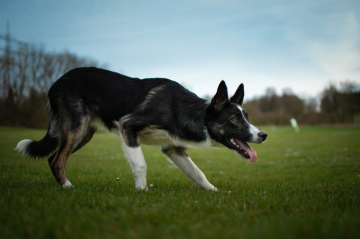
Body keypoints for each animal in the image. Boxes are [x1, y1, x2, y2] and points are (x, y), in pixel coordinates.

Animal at [15, 67, 266, 190]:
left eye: (246, 116)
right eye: (235, 119)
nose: (263, 135)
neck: (183, 111)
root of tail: (55, 83)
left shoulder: (173, 148)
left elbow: (198, 173)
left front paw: (214, 192)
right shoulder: (128, 127)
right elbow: (141, 164)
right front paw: (141, 192)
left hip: (83, 134)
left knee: (53, 158)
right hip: (76, 128)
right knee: (57, 159)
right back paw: (68, 188)